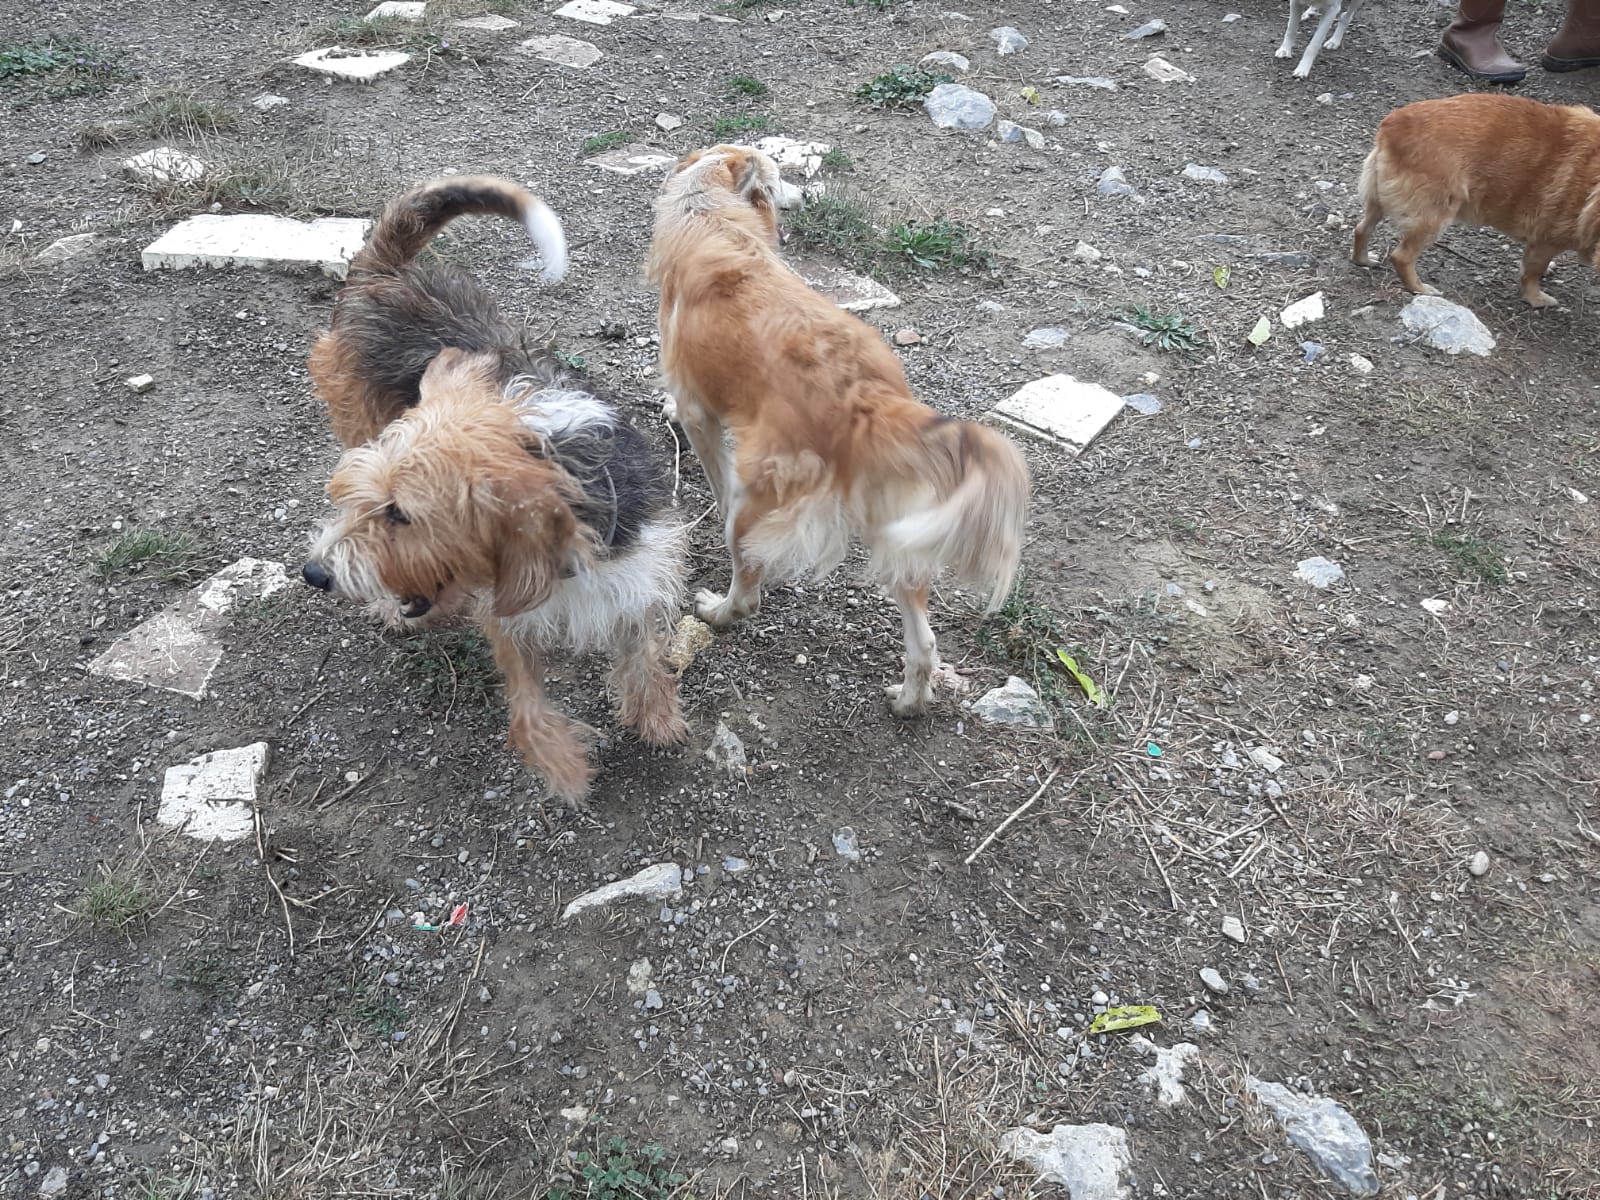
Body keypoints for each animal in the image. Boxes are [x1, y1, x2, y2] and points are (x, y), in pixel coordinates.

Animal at [302, 176, 688, 803]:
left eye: (401, 514)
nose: (315, 574)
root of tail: (387, 270)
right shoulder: (510, 621)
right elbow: (529, 711)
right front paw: (566, 770)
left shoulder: (636, 580)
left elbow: (643, 658)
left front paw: (655, 717)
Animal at [646, 145, 1030, 717]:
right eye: (780, 175)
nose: (804, 194)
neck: (709, 213)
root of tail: (863, 398)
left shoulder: (703, 416)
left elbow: (709, 463)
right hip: (900, 530)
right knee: (925, 640)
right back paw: (910, 701)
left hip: (755, 508)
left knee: (748, 590)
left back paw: (717, 610)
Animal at [1353, 94, 1600, 307]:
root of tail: (1393, 124)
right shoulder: (1547, 240)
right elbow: (1532, 273)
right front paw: (1535, 298)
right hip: (1434, 216)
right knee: (1401, 256)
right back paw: (1419, 288)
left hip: (1379, 202)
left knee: (1361, 229)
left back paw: (1363, 259)